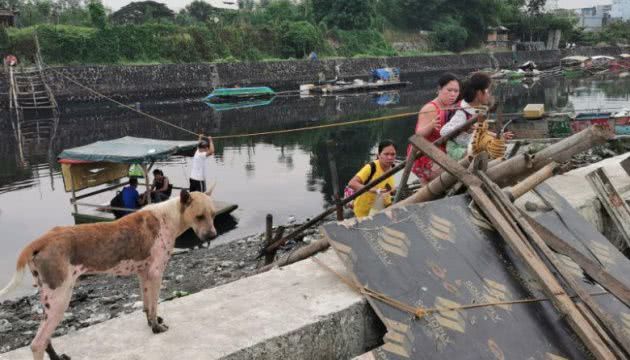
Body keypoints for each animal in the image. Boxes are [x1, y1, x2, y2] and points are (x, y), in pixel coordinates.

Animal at [0, 190, 220, 358]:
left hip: (49, 302)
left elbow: (147, 305)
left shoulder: (144, 274)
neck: (168, 216)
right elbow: (154, 304)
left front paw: (152, 322)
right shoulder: (156, 273)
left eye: (213, 214)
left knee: (45, 339)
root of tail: (41, 240)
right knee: (37, 343)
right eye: (199, 216)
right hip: (60, 298)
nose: (213, 235)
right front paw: (156, 328)